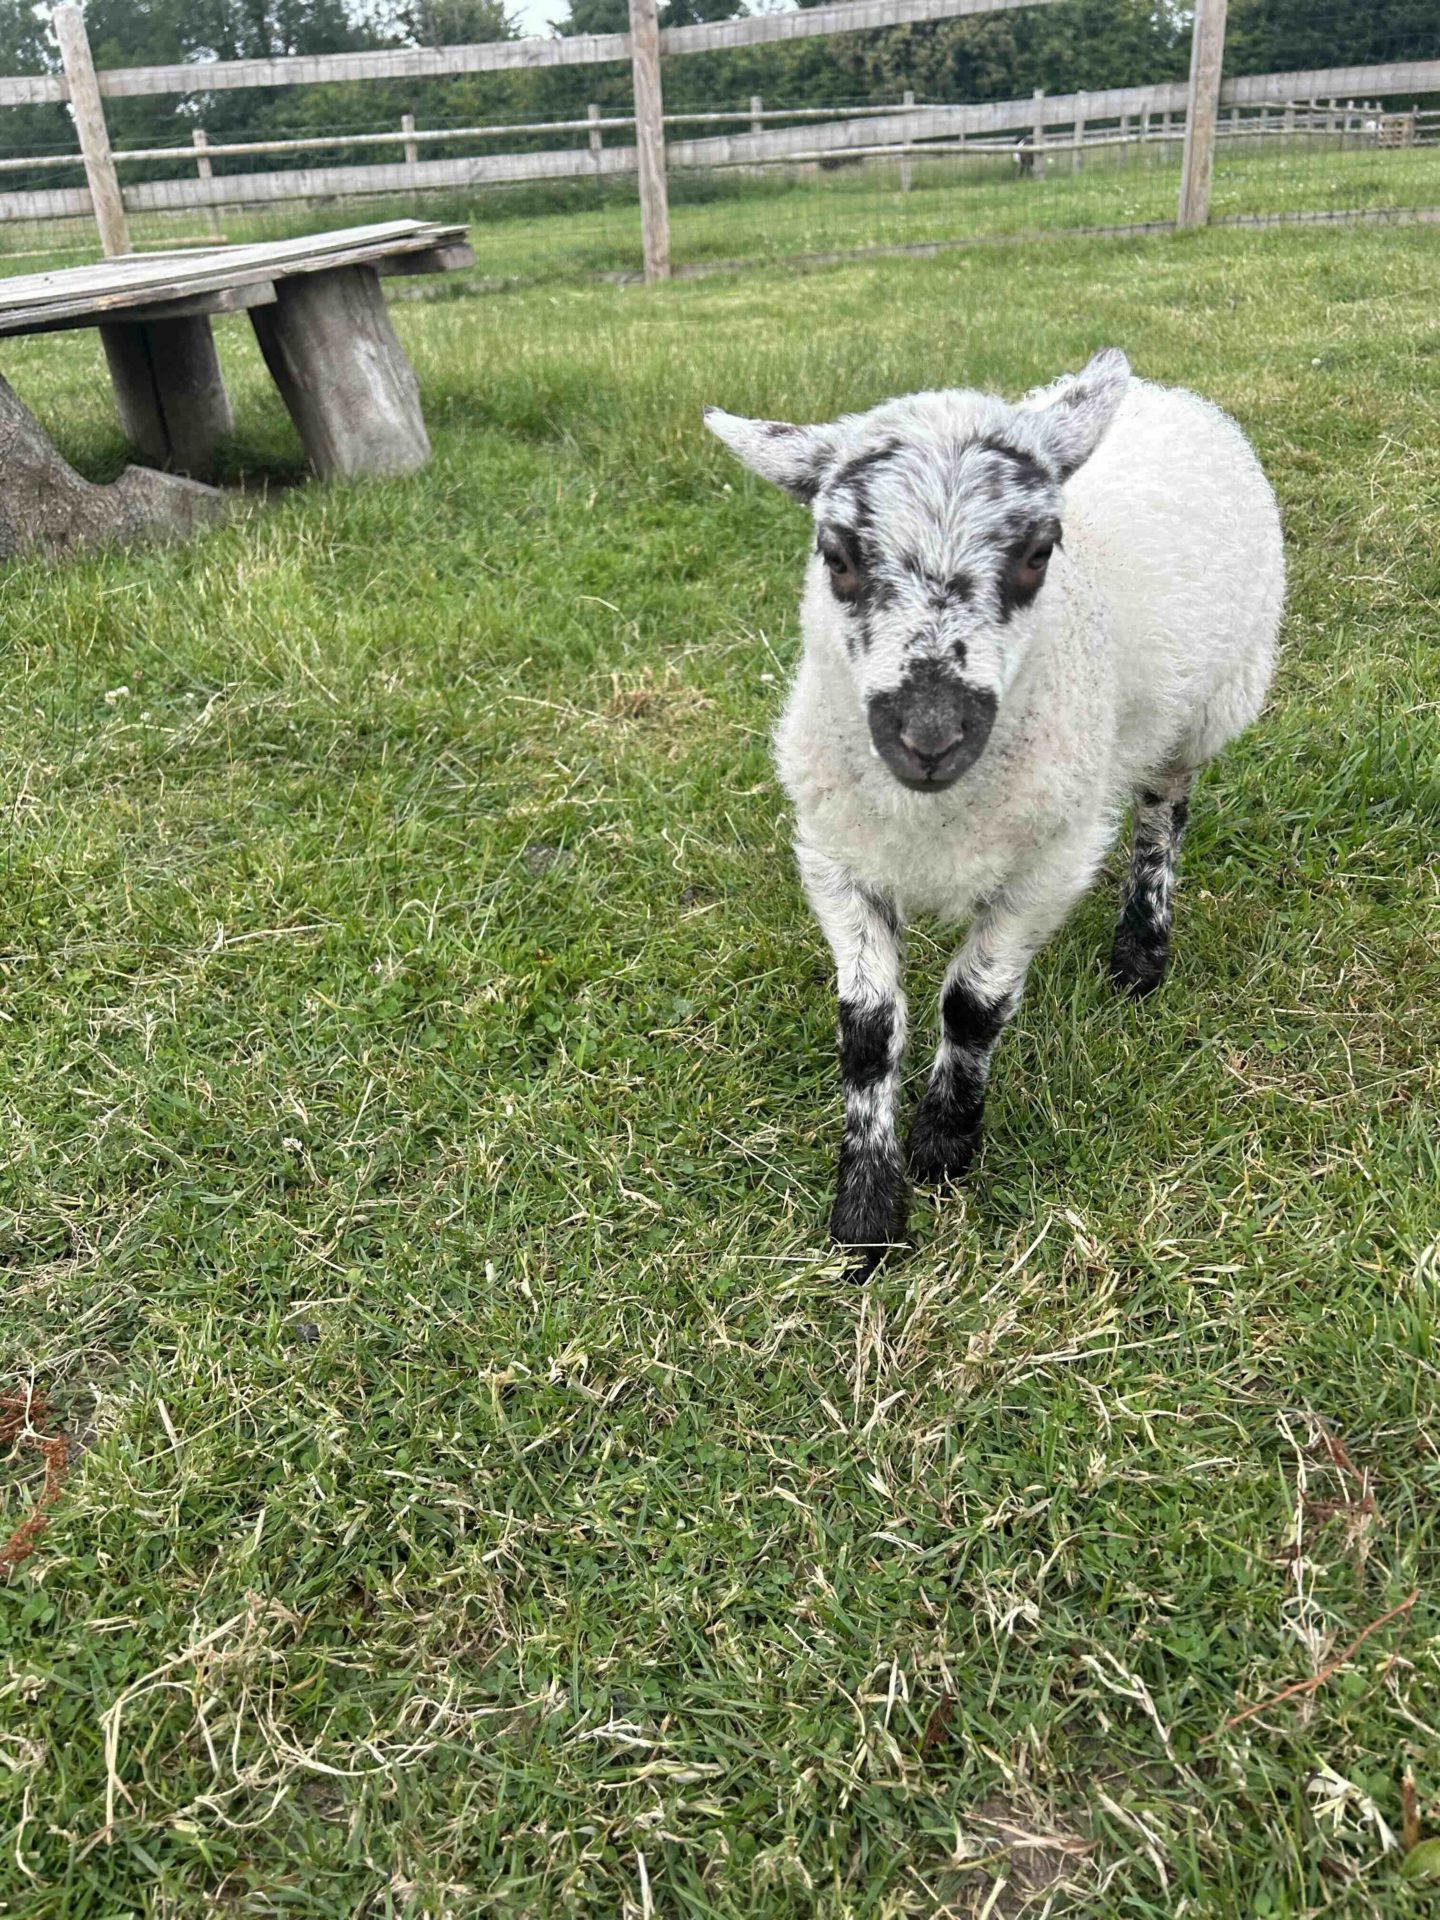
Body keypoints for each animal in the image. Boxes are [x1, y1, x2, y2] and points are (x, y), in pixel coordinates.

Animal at [705, 349, 1285, 1278]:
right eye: (837, 557)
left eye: (1039, 553)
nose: (930, 736)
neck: (933, 815)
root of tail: (1163, 394)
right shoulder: (838, 856)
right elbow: (868, 1029)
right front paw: (866, 1212)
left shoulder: (1048, 863)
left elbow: (973, 1004)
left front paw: (945, 1143)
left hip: (1207, 705)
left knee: (1164, 813)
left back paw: (1142, 947)